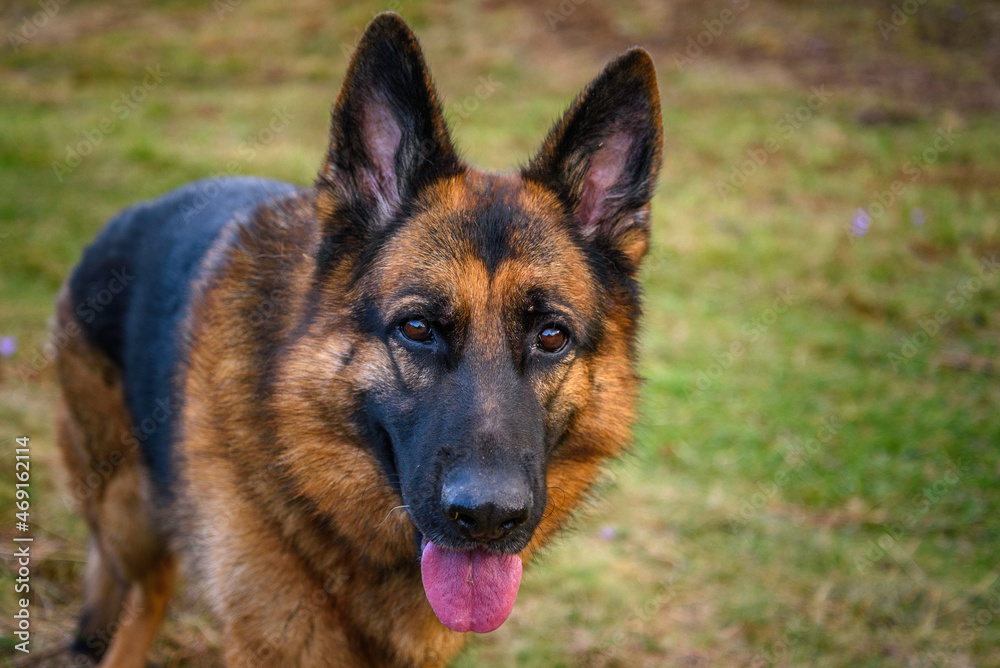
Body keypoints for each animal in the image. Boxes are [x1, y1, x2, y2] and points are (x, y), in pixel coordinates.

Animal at [56, 11, 664, 668]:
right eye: (417, 328)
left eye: (552, 336)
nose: (488, 517)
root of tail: (129, 215)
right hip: (127, 508)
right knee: (147, 594)